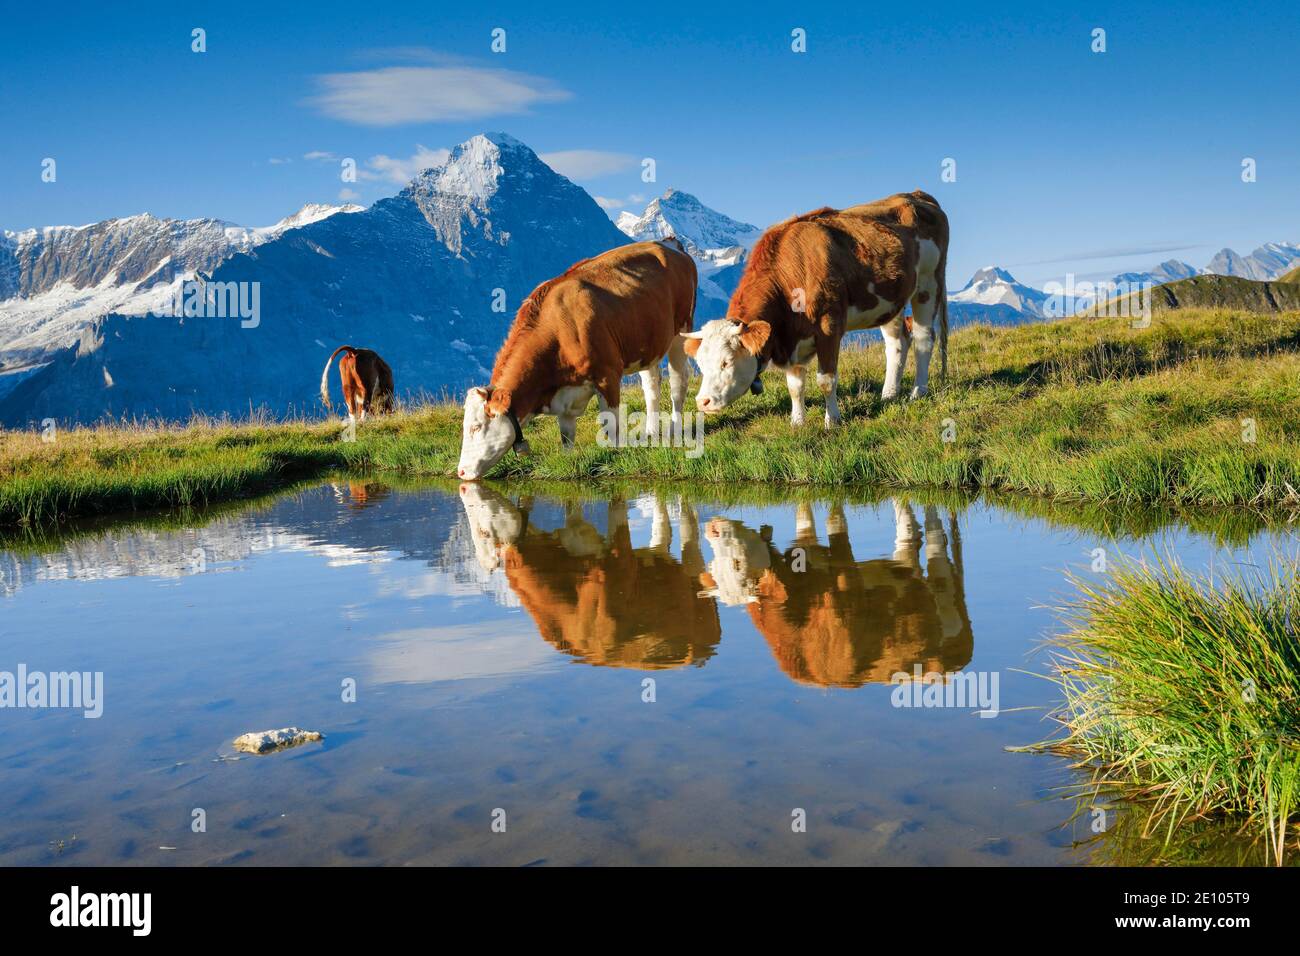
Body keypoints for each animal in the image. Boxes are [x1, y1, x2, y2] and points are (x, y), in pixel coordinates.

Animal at [460, 236, 702, 481]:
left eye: (476, 427)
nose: (461, 471)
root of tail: (666, 242)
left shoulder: (607, 376)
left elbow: (611, 427)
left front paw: (617, 457)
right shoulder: (564, 399)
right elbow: (567, 438)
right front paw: (568, 461)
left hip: (681, 329)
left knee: (678, 382)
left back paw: (675, 427)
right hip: (648, 343)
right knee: (652, 385)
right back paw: (651, 432)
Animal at [686, 189, 951, 426]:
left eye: (726, 362)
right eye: (701, 363)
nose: (703, 402)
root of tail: (916, 194)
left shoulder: (829, 327)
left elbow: (826, 380)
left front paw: (832, 420)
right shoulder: (791, 337)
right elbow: (795, 385)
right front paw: (797, 422)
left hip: (929, 283)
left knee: (924, 338)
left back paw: (917, 392)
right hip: (891, 301)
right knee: (898, 342)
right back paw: (889, 394)